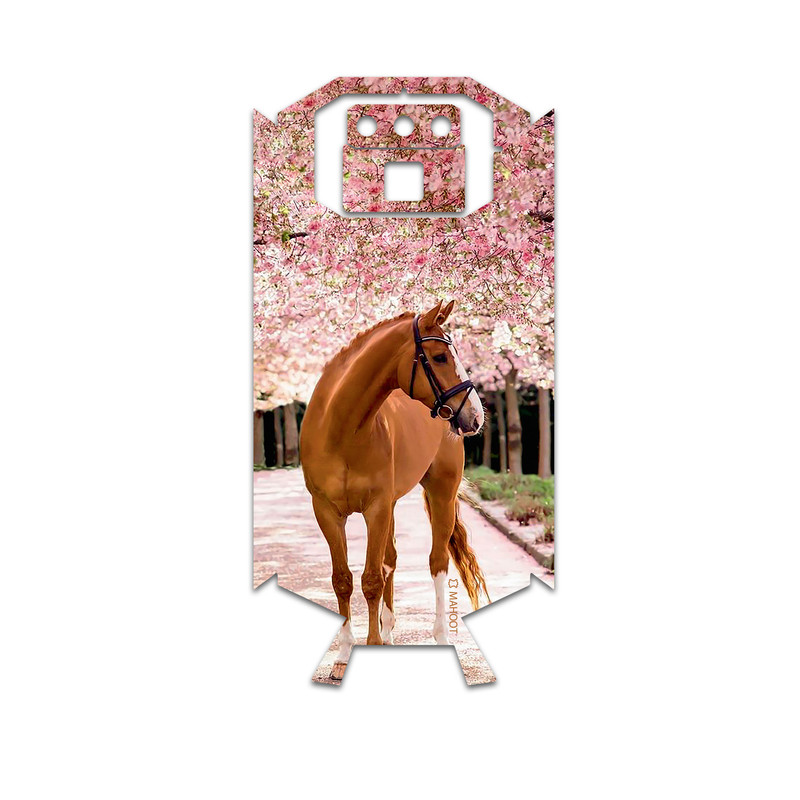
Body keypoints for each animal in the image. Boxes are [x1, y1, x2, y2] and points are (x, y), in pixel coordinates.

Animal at [300, 300, 490, 680]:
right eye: (440, 357)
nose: (475, 416)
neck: (341, 430)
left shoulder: (376, 507)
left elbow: (371, 579)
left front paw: (369, 645)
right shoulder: (327, 511)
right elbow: (343, 580)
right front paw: (344, 656)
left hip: (440, 492)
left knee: (436, 562)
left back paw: (440, 636)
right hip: (391, 506)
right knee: (391, 560)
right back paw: (387, 634)